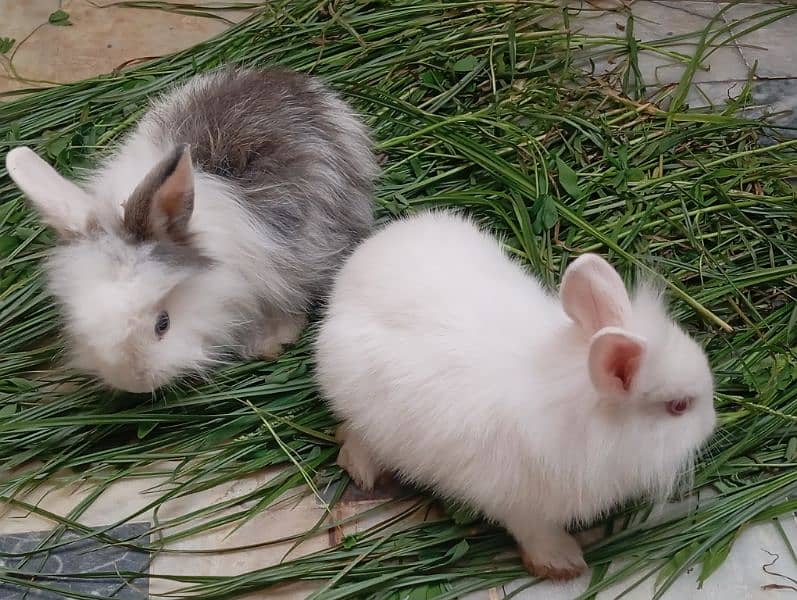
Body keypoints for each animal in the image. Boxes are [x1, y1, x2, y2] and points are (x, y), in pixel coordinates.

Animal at [316, 211, 716, 580]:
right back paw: (363, 471)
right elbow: (536, 533)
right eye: (678, 406)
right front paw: (563, 563)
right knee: (357, 436)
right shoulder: (519, 503)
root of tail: (345, 283)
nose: (712, 425)